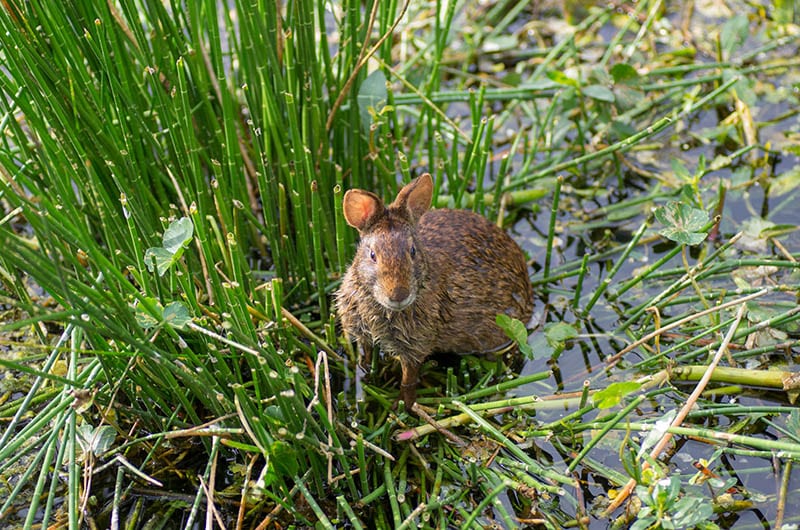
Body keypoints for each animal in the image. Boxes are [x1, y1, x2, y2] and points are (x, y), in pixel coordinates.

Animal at [336, 173, 533, 408]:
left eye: (412, 251)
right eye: (372, 255)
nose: (398, 295)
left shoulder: (415, 345)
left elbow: (409, 377)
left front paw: (402, 405)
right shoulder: (360, 332)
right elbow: (364, 355)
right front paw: (362, 376)